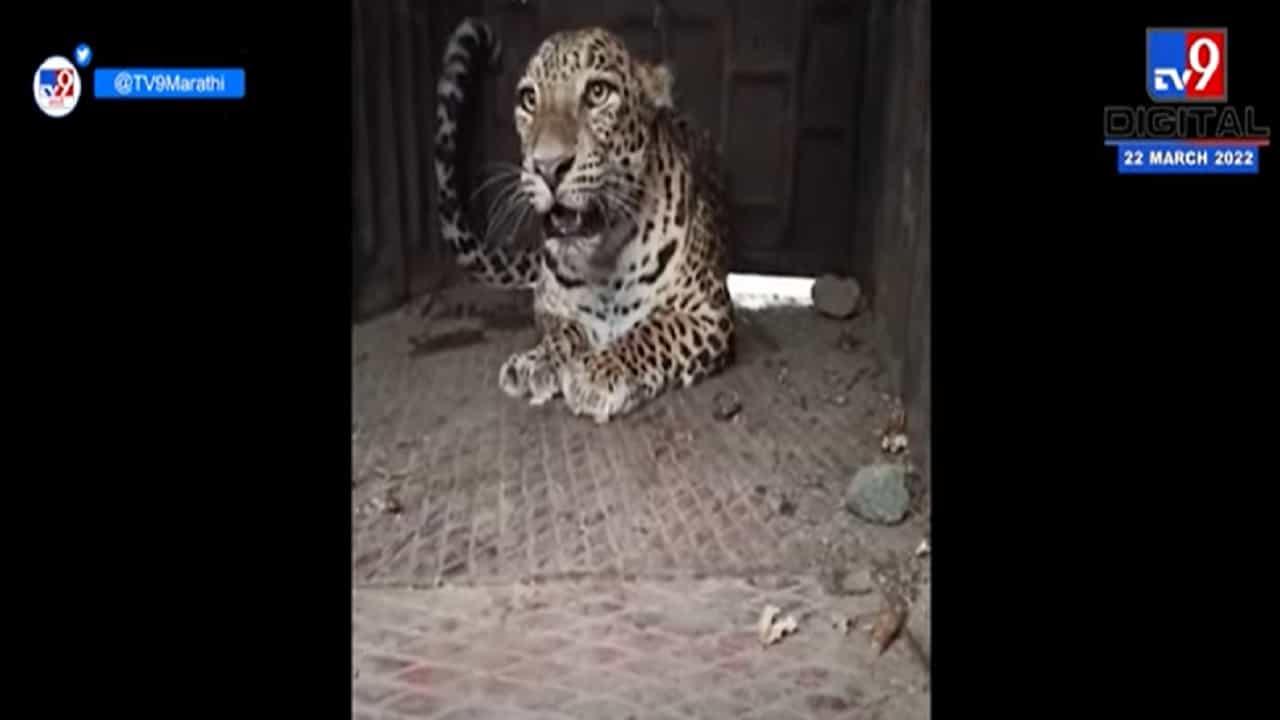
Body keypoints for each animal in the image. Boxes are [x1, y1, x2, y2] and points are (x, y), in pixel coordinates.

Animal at [434, 17, 735, 423]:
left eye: (597, 93)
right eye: (529, 99)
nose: (546, 166)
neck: (604, 258)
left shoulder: (708, 312)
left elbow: (655, 330)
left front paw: (599, 372)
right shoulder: (547, 305)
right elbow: (564, 331)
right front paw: (537, 362)